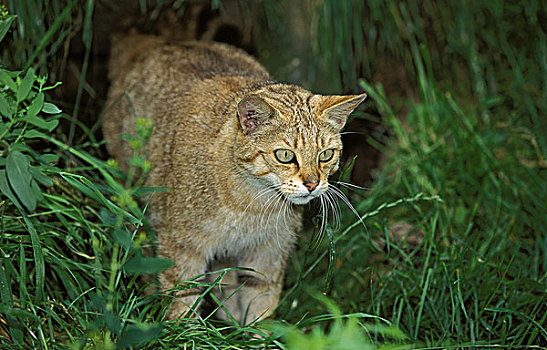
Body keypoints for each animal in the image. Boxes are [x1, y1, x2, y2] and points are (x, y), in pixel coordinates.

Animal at [103, 32, 368, 322]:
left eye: (326, 155)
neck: (251, 205)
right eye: (285, 155)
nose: (312, 184)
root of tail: (157, 42)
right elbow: (182, 306)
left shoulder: (268, 254)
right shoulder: (181, 248)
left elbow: (260, 309)